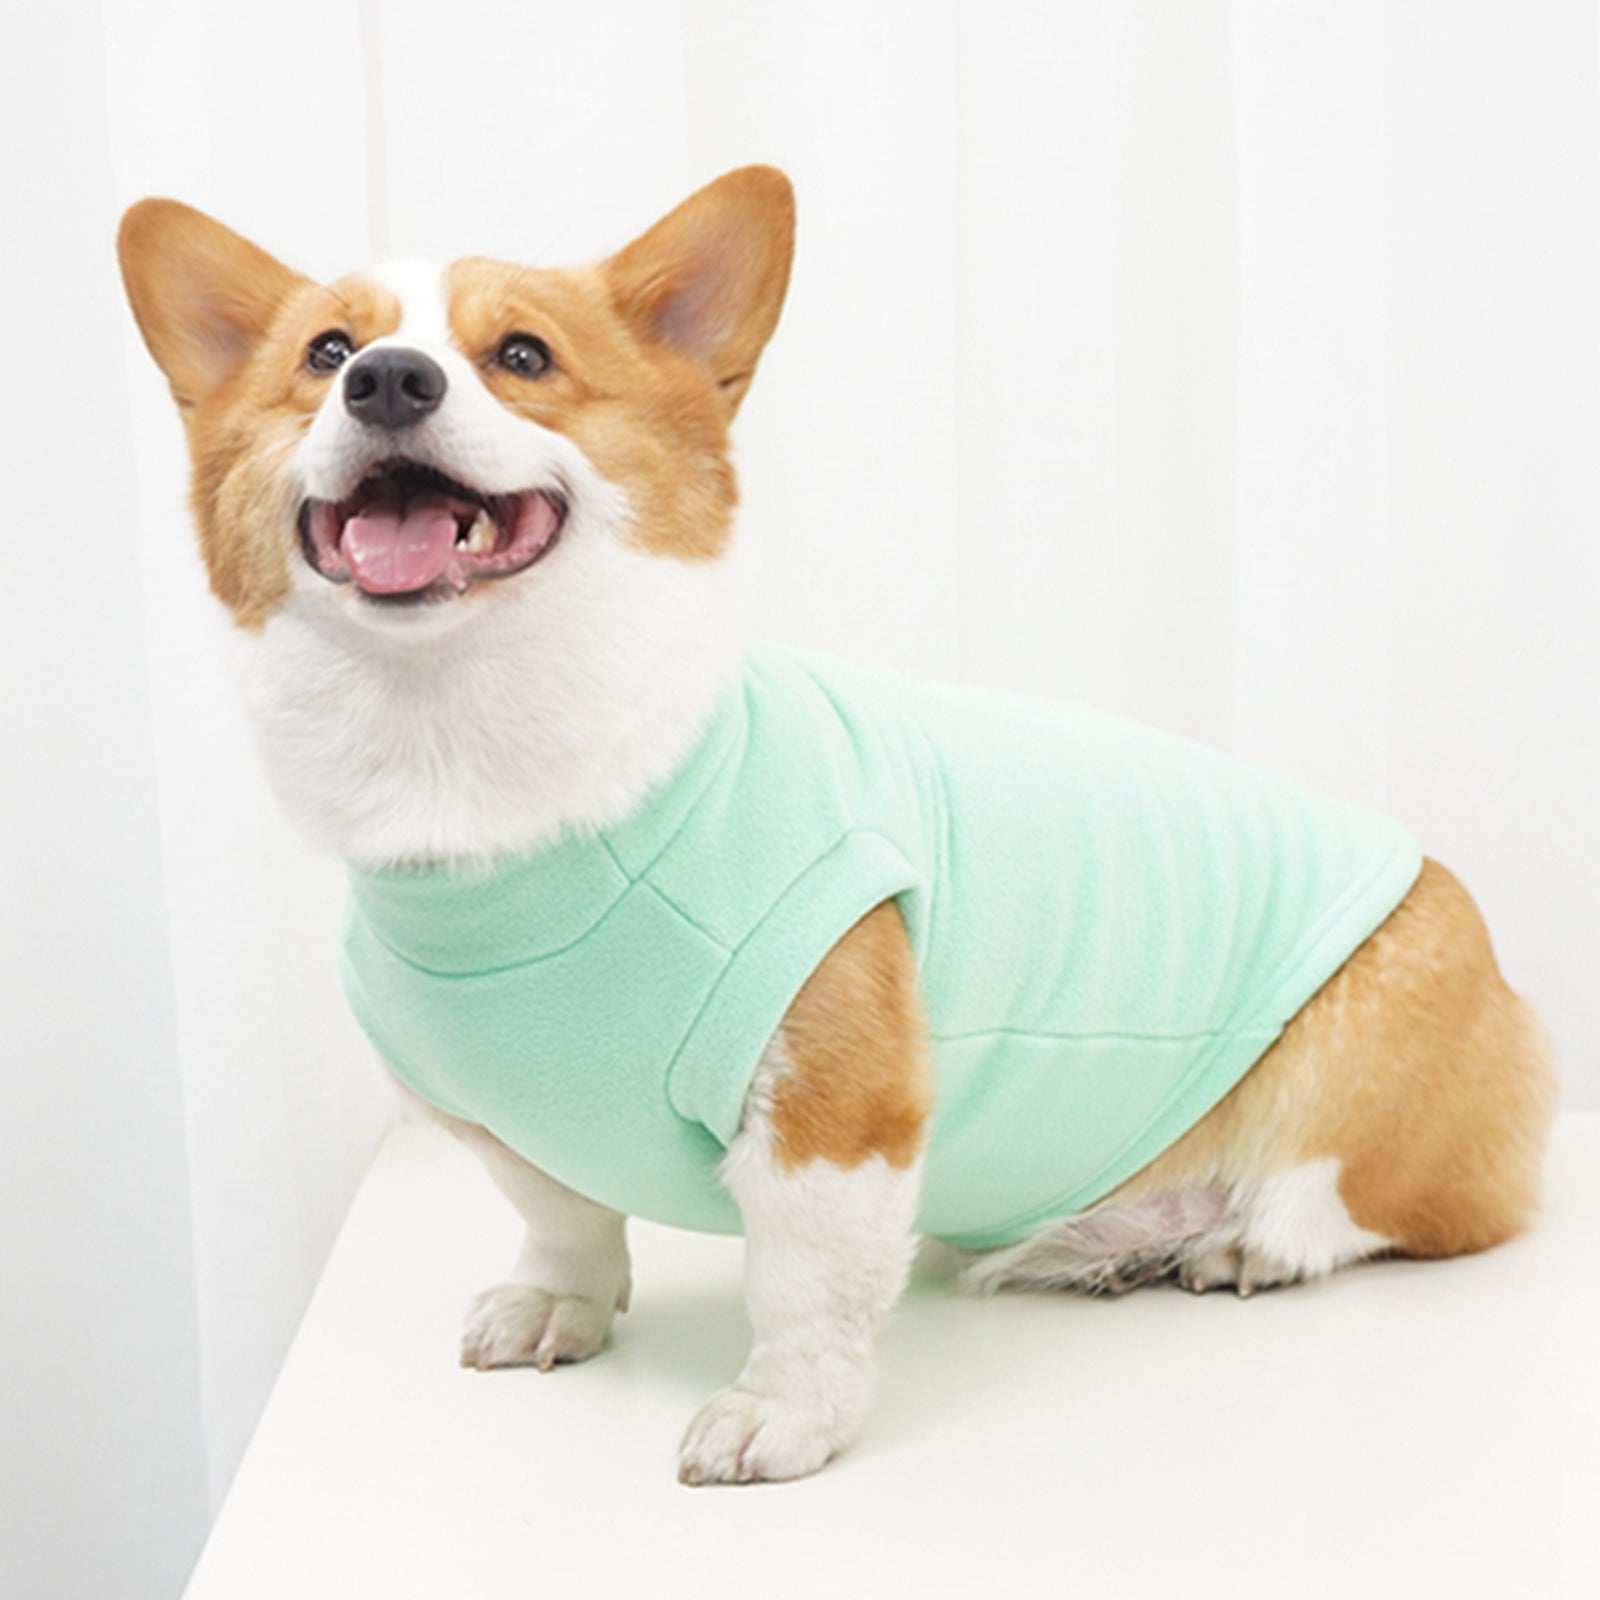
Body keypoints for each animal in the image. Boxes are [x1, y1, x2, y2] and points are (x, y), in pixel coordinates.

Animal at [118, 167, 1556, 1486]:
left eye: (521, 355)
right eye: (325, 354)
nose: (389, 382)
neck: (488, 795)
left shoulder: (833, 1116)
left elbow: (802, 1288)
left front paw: (783, 1416)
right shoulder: (493, 1125)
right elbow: (563, 1218)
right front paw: (563, 1304)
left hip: (1371, 1051)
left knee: (1385, 1198)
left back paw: (1248, 1234)